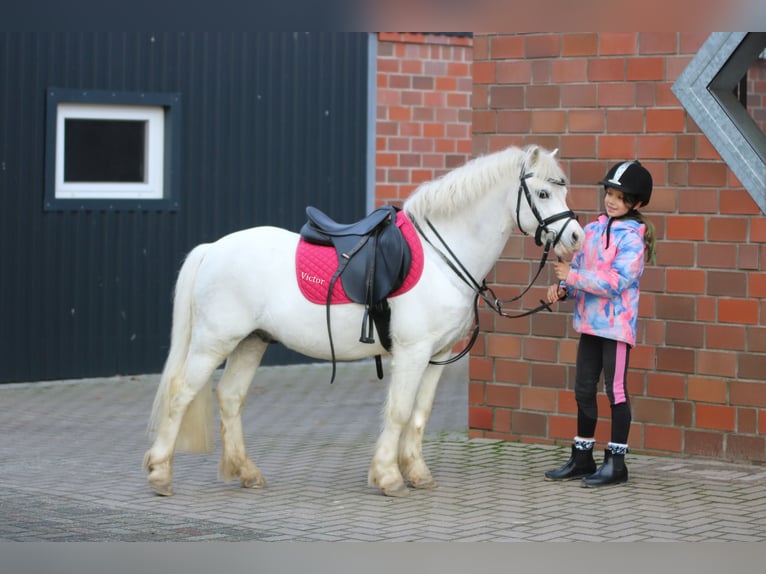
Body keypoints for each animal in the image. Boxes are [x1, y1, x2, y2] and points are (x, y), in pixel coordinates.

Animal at [144, 145, 584, 500]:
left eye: (564, 189)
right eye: (543, 193)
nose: (577, 238)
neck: (442, 257)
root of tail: (212, 248)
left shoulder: (438, 355)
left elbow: (420, 414)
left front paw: (417, 473)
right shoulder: (412, 352)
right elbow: (400, 411)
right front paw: (388, 477)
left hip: (251, 341)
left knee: (230, 398)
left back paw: (248, 473)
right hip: (213, 342)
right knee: (181, 394)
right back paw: (160, 475)